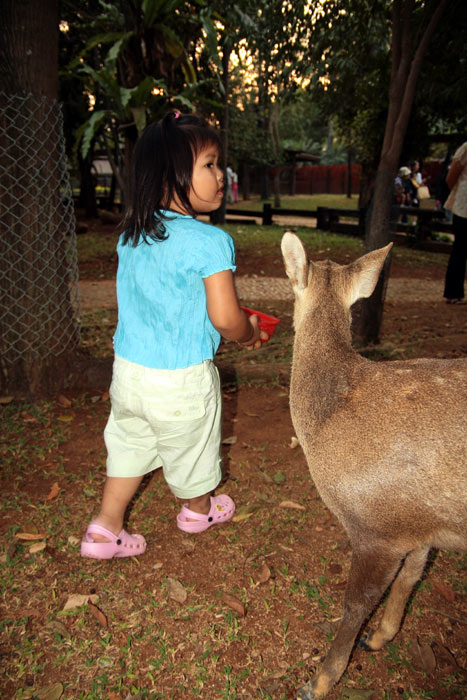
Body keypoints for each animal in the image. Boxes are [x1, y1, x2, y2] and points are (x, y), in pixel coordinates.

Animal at [282, 234, 467, 700]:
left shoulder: (378, 526)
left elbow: (355, 605)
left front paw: (321, 679)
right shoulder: (419, 520)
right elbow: (412, 575)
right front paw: (382, 635)